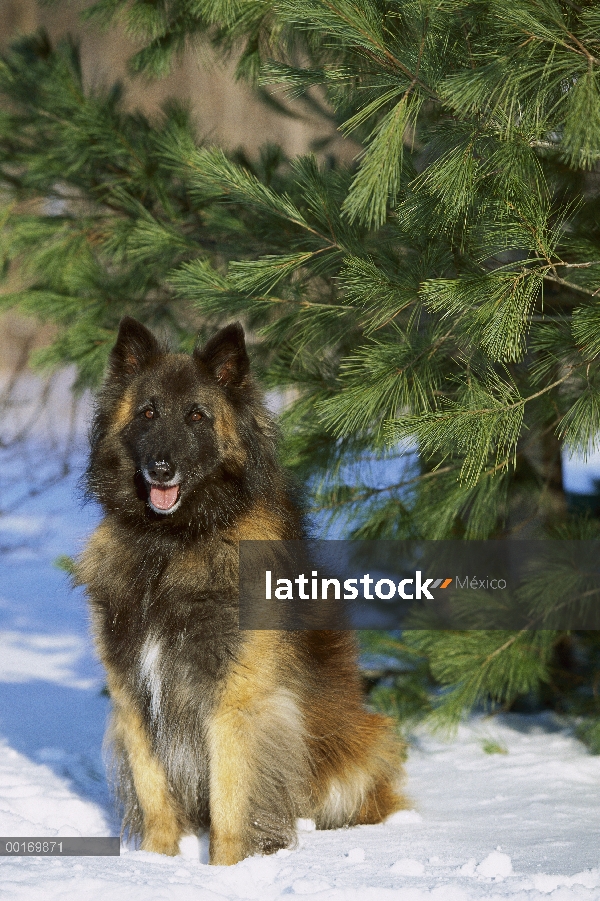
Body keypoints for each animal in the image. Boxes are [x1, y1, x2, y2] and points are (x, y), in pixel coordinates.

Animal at [75, 316, 404, 864]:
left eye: (197, 416)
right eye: (147, 412)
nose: (161, 469)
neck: (174, 544)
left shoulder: (236, 700)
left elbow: (233, 798)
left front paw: (229, 869)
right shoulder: (133, 693)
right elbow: (153, 790)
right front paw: (156, 864)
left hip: (365, 740)